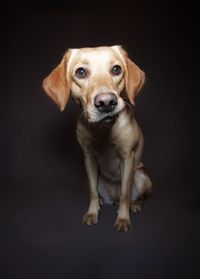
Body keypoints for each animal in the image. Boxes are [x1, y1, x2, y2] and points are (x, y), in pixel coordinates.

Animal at [42, 46, 152, 232]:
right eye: (80, 72)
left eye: (116, 69)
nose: (106, 102)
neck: (103, 130)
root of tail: (112, 198)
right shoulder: (88, 158)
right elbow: (92, 192)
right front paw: (92, 213)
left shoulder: (127, 157)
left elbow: (125, 194)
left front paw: (123, 218)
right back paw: (102, 202)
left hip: (141, 176)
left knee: (136, 196)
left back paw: (135, 204)